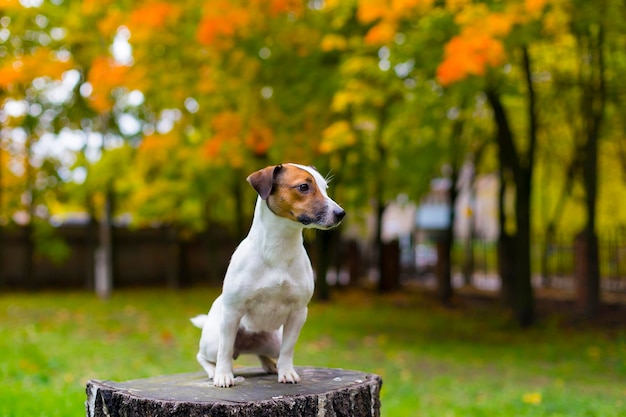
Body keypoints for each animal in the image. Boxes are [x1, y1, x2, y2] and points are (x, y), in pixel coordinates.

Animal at [190, 162, 346, 386]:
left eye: (325, 188)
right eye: (304, 187)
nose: (341, 213)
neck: (279, 248)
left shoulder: (298, 313)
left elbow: (288, 349)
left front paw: (286, 372)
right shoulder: (232, 312)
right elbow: (225, 350)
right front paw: (223, 375)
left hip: (273, 341)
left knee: (268, 353)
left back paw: (271, 365)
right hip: (213, 339)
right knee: (206, 355)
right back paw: (213, 371)